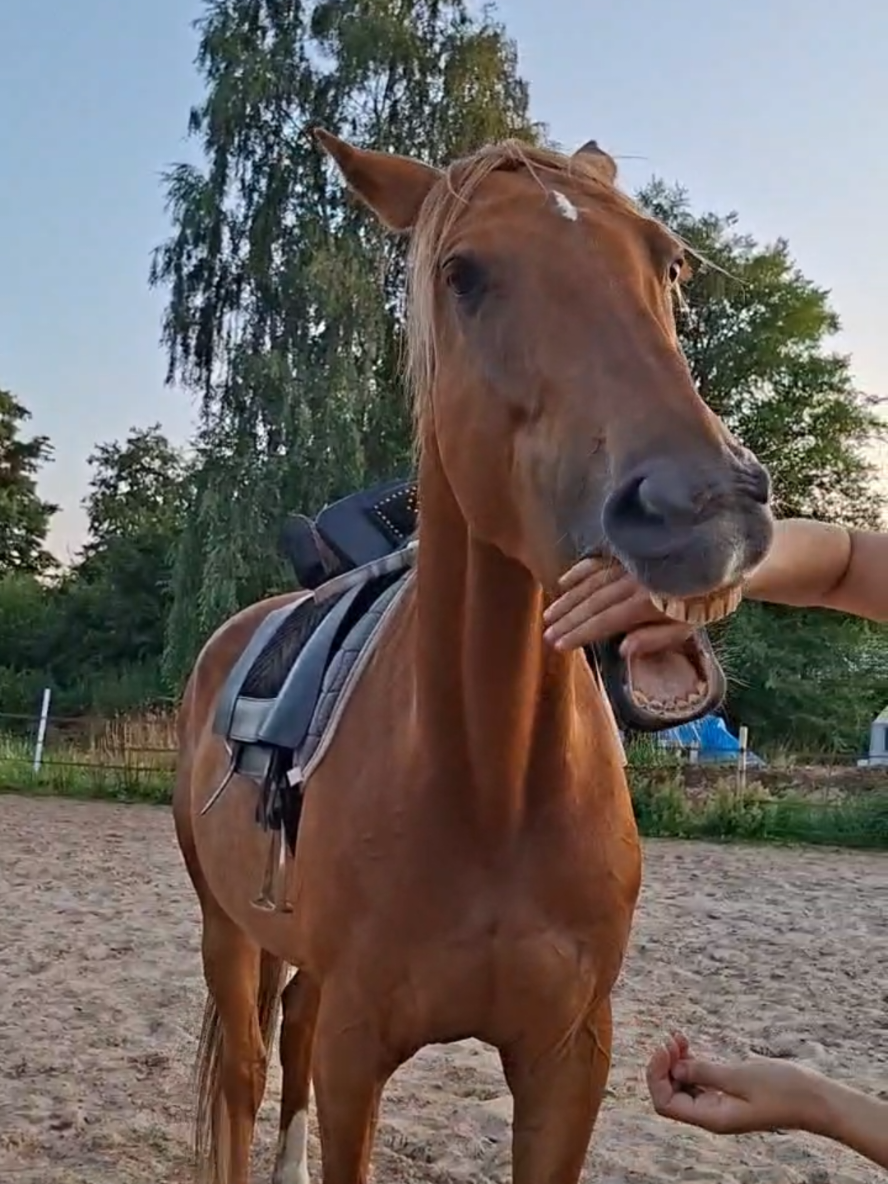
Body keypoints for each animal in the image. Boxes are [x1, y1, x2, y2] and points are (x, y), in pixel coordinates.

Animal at [173, 129, 774, 1184]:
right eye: (463, 274)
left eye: (670, 262)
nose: (701, 510)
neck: (494, 785)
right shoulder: (359, 1056)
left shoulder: (568, 1058)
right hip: (226, 931)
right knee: (244, 1076)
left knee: (289, 1038)